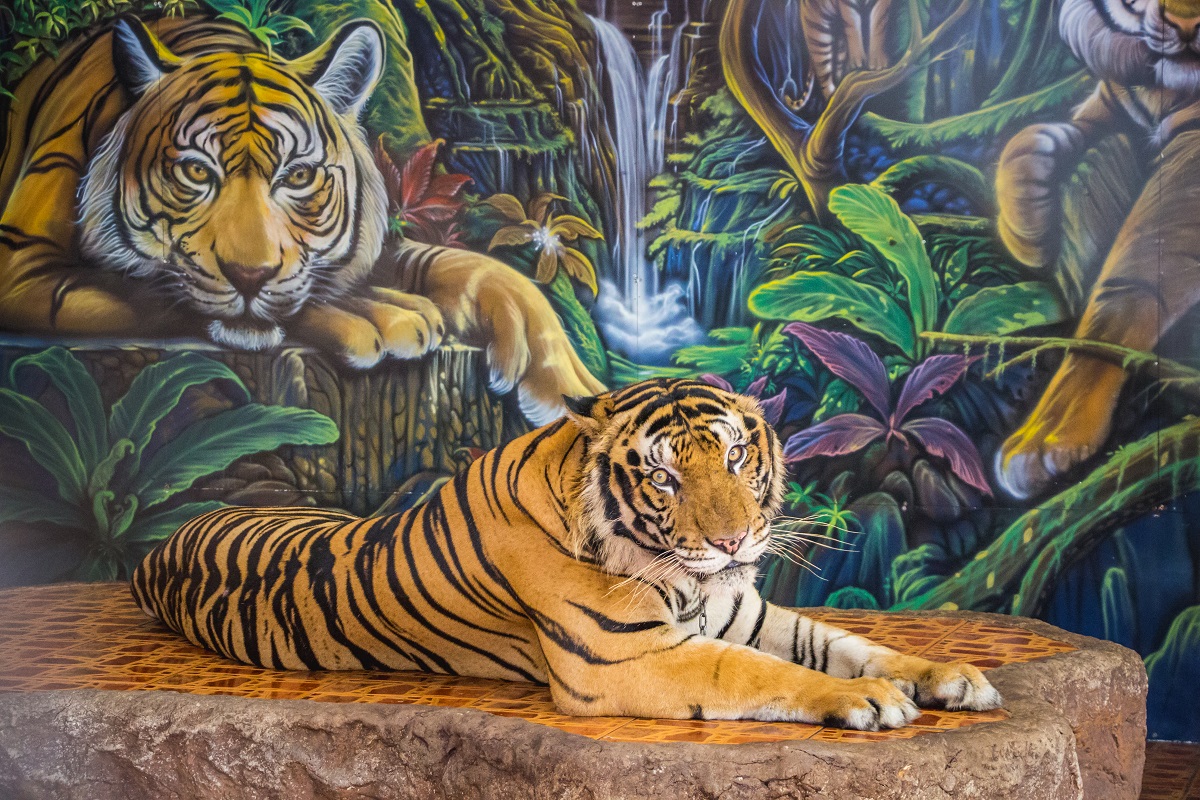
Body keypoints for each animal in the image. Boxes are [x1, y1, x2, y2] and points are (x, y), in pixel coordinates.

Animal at [0, 15, 603, 424]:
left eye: (297, 176)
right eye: (195, 171)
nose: (249, 276)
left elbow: (467, 267)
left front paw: (570, 383)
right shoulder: (23, 272)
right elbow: (158, 291)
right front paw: (383, 314)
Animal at [131, 378, 1000, 729]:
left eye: (735, 456)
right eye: (662, 475)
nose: (731, 540)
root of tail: (161, 542)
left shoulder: (743, 611)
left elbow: (852, 644)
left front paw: (948, 677)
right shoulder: (627, 657)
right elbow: (766, 674)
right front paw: (870, 702)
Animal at [994, 0, 1200, 498]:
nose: (1186, 25)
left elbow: (1127, 285)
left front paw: (1047, 438)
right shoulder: (1108, 107)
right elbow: (1026, 146)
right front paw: (1029, 212)